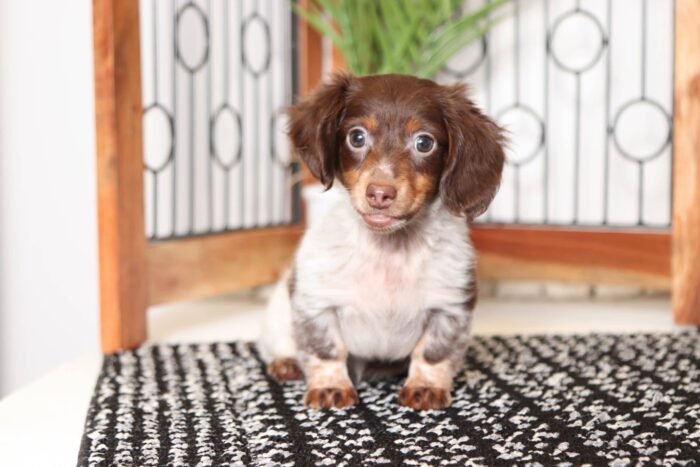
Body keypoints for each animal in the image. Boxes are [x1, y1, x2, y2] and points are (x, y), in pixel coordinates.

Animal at [258, 71, 504, 412]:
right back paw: (286, 362)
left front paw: (426, 386)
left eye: (424, 143)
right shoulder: (316, 301)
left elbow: (433, 352)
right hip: (277, 317)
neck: (389, 249)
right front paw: (331, 386)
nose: (379, 193)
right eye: (357, 137)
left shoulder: (450, 305)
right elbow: (326, 348)